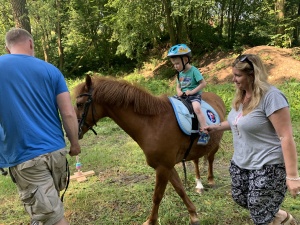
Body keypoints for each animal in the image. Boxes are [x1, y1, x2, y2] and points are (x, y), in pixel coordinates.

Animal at [74, 75, 226, 225]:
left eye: (79, 104)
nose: (76, 133)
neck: (152, 124)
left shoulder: (163, 167)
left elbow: (157, 196)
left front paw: (151, 221)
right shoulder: (167, 166)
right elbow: (180, 189)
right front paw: (193, 215)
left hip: (215, 144)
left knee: (210, 158)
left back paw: (210, 180)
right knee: (196, 161)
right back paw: (199, 184)